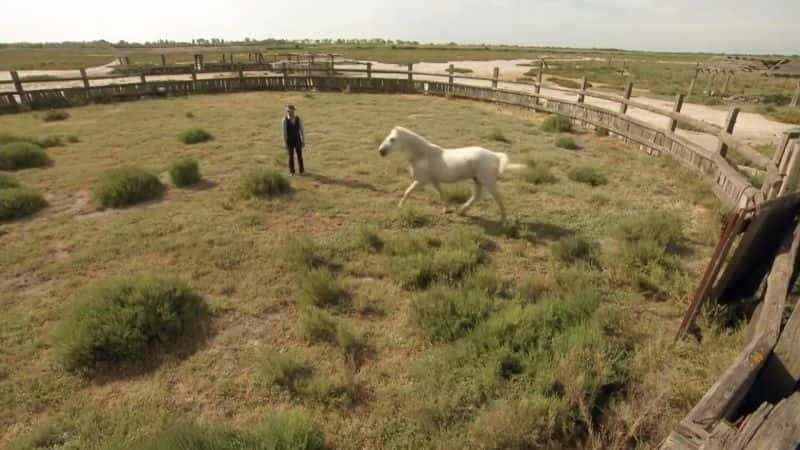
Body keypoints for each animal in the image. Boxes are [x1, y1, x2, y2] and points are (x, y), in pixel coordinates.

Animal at [380, 126, 528, 221]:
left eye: (392, 139)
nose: (381, 151)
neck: (423, 155)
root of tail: (494, 156)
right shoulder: (433, 180)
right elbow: (441, 193)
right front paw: (447, 209)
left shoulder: (422, 181)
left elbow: (408, 191)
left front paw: (399, 207)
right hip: (477, 180)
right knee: (477, 196)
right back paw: (462, 211)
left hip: (488, 182)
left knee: (498, 198)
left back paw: (503, 220)